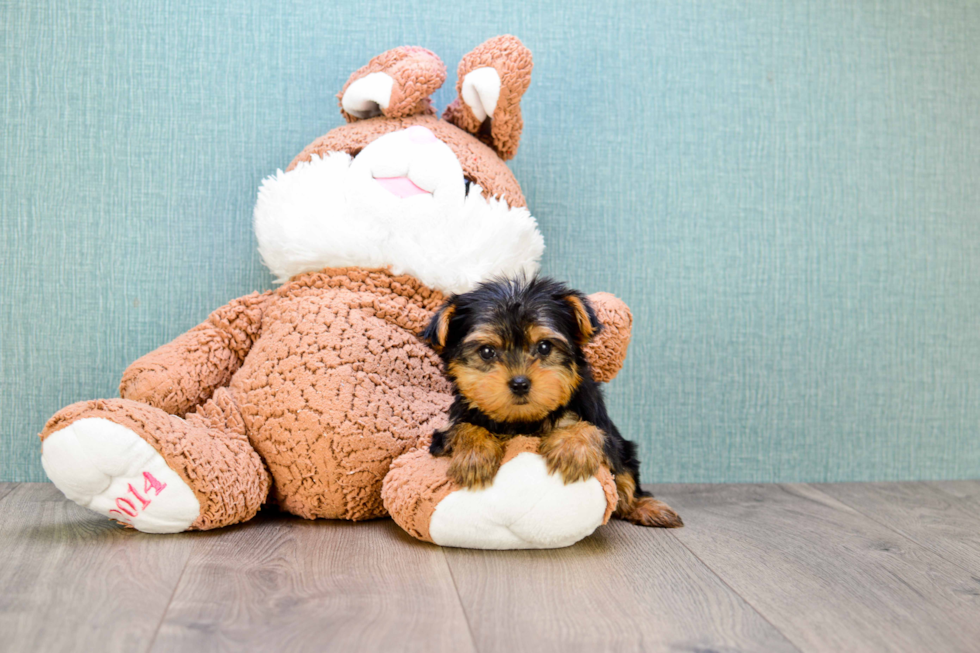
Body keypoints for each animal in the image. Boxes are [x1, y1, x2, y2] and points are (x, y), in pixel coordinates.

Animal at [422, 274, 680, 524]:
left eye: (544, 347)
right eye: (486, 352)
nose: (520, 383)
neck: (523, 420)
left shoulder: (600, 424)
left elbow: (593, 431)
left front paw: (572, 449)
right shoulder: (446, 432)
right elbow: (463, 428)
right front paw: (475, 455)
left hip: (625, 449)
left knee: (626, 478)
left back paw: (647, 507)